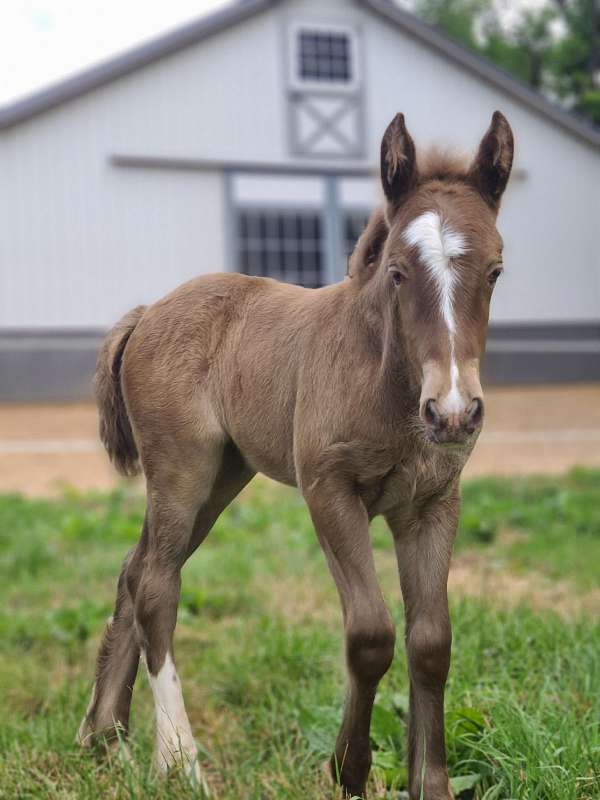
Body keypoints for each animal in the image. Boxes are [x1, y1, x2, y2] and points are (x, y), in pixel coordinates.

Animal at [77, 111, 512, 800]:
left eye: (495, 271)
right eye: (397, 271)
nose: (451, 412)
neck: (384, 380)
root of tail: (147, 313)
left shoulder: (433, 503)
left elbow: (430, 641)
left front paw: (429, 784)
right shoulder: (329, 489)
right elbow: (370, 632)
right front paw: (349, 771)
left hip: (225, 476)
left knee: (133, 566)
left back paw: (105, 736)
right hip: (182, 469)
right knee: (155, 582)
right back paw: (178, 759)